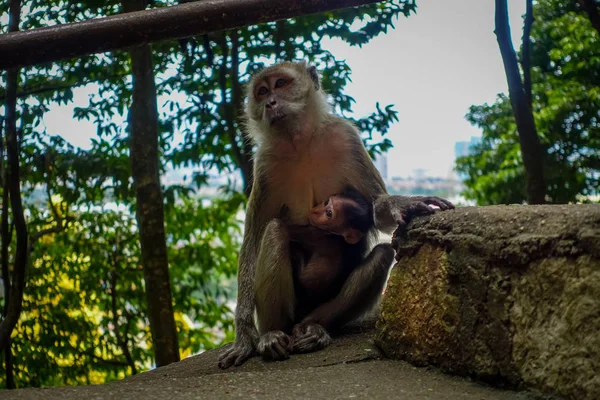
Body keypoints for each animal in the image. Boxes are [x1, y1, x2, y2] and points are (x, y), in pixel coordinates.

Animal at [218, 61, 452, 368]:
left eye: (280, 84)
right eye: (262, 91)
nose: (270, 103)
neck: (300, 143)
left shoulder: (345, 138)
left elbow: (376, 205)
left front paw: (401, 203)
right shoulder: (264, 165)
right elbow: (254, 240)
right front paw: (245, 333)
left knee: (382, 254)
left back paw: (314, 329)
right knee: (275, 231)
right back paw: (271, 335)